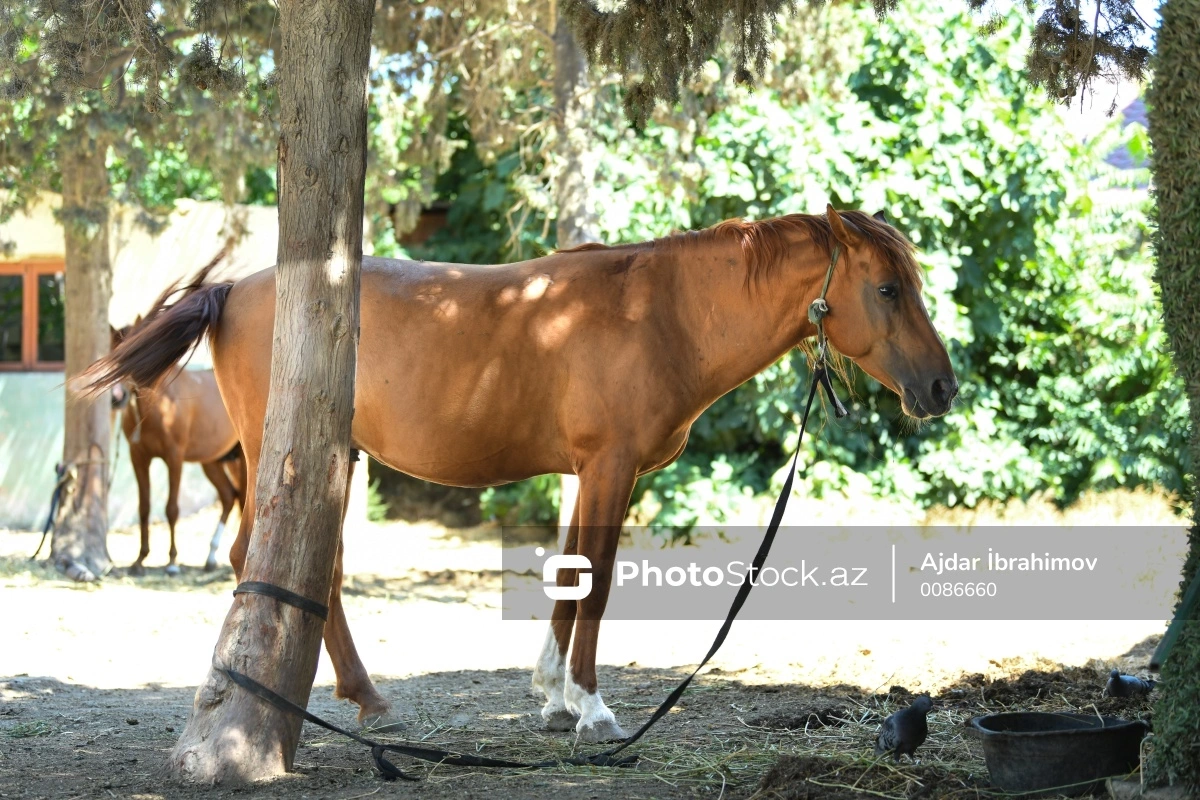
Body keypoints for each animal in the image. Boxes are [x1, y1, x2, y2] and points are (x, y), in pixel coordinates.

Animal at [82, 208, 955, 743]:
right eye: (887, 288)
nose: (942, 388)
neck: (660, 311)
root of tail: (235, 289)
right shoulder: (609, 466)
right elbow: (595, 581)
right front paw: (593, 709)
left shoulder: (588, 471)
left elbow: (568, 577)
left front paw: (554, 695)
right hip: (284, 458)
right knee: (262, 559)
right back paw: (355, 696)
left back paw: (363, 697)